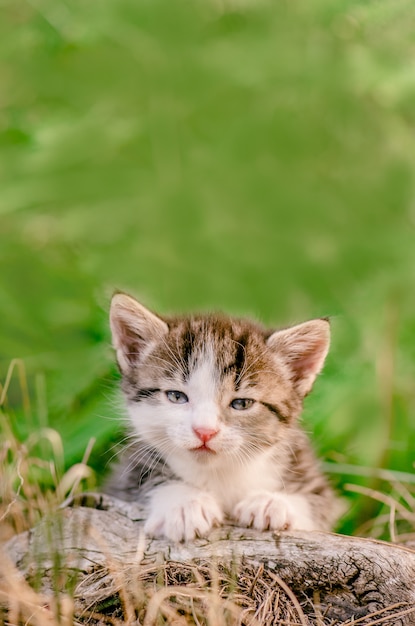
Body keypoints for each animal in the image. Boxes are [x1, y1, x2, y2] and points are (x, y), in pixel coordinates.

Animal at [106, 292, 338, 540]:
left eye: (242, 403)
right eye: (176, 396)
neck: (219, 474)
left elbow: (318, 502)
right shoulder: (121, 480)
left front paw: (274, 503)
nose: (205, 432)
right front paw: (185, 502)